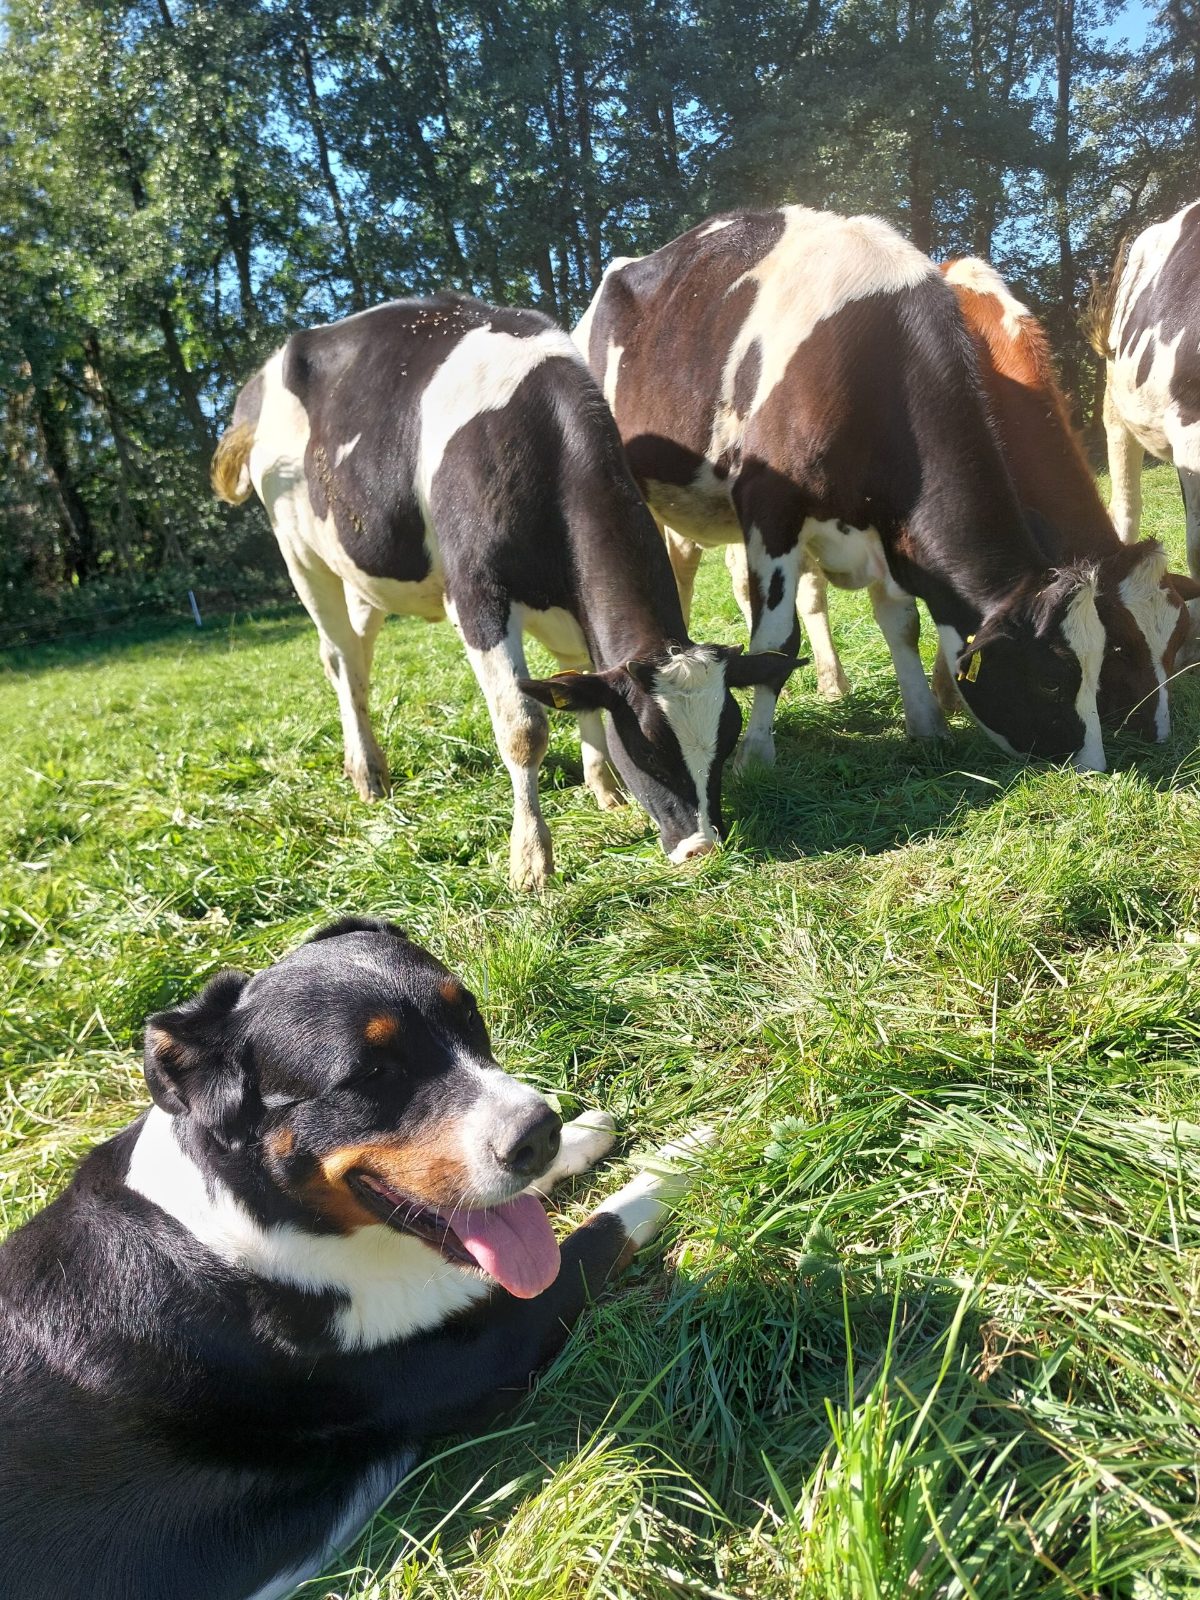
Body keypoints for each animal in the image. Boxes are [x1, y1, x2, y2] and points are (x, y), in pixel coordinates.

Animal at [211, 294, 794, 891]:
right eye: (649, 751)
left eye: (726, 742)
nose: (702, 847)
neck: (539, 436)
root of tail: (265, 374)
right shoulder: (478, 597)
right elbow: (524, 727)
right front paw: (531, 858)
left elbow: (576, 684)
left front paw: (602, 788)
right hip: (300, 551)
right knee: (338, 656)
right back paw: (368, 774)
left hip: (365, 572)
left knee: (359, 653)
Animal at [576, 206, 1186, 774]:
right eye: (1054, 679)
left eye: (1102, 656)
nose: (1096, 765)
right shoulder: (771, 509)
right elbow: (775, 640)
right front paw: (755, 754)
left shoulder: (890, 527)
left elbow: (904, 622)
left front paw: (927, 722)